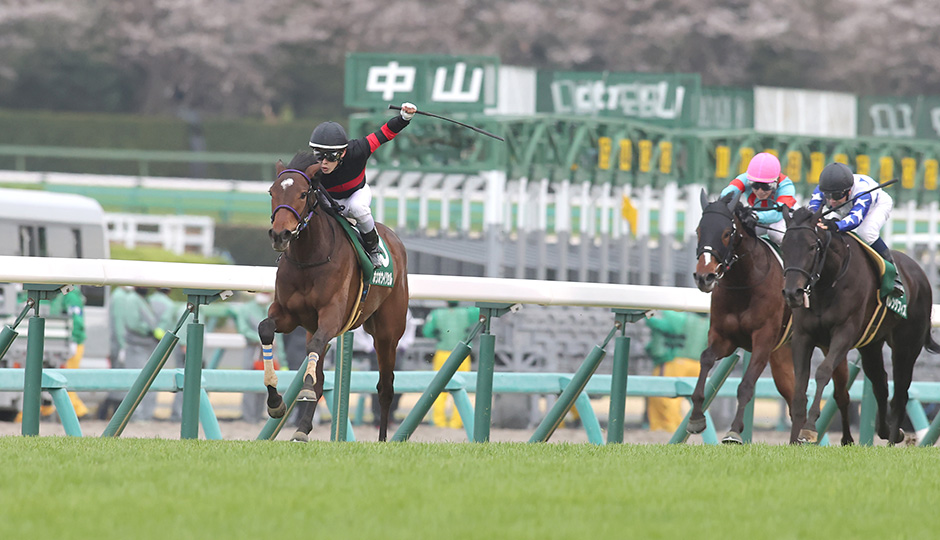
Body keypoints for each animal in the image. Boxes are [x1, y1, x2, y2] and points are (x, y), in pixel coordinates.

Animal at [258, 151, 410, 442]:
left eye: (303, 194)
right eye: (272, 191)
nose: (280, 235)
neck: (309, 258)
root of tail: (395, 240)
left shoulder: (332, 315)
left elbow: (317, 348)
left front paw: (301, 391)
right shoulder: (288, 314)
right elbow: (266, 329)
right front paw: (275, 401)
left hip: (388, 333)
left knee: (386, 388)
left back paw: (383, 439)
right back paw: (302, 429)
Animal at [690, 190, 853, 444]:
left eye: (726, 233)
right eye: (699, 230)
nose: (704, 277)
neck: (744, 285)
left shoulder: (763, 340)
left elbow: (746, 385)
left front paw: (734, 431)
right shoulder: (723, 337)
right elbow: (706, 359)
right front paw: (696, 418)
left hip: (830, 344)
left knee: (840, 392)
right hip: (784, 354)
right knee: (793, 396)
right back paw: (796, 440)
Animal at [781, 206, 940, 444]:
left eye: (811, 247)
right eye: (783, 246)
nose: (793, 293)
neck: (827, 284)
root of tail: (920, 274)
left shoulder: (844, 333)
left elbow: (823, 371)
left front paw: (809, 429)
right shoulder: (803, 336)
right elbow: (800, 385)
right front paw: (794, 439)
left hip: (906, 347)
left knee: (901, 392)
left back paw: (892, 440)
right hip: (871, 345)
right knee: (881, 384)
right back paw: (889, 432)